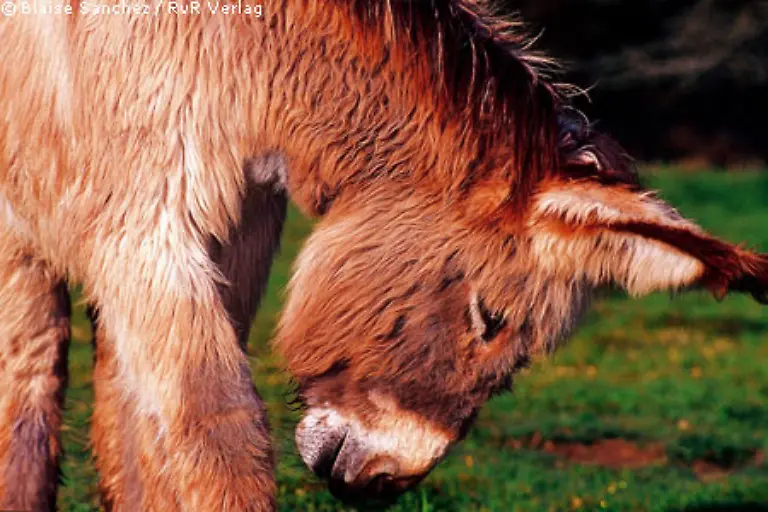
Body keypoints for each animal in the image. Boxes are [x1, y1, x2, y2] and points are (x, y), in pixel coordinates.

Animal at [0, 0, 766, 510]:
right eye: (489, 320)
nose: (383, 483)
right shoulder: (128, 236)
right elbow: (198, 434)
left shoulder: (231, 229)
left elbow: (135, 436)